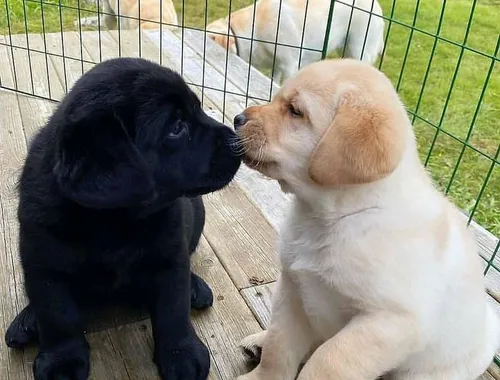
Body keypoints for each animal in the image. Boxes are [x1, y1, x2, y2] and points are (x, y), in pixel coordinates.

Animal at [5, 57, 242, 380]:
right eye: (177, 127)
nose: (239, 141)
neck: (115, 221)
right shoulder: (43, 263)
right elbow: (57, 315)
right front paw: (62, 360)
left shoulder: (170, 255)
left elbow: (173, 308)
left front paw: (181, 353)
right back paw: (27, 320)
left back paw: (195, 287)